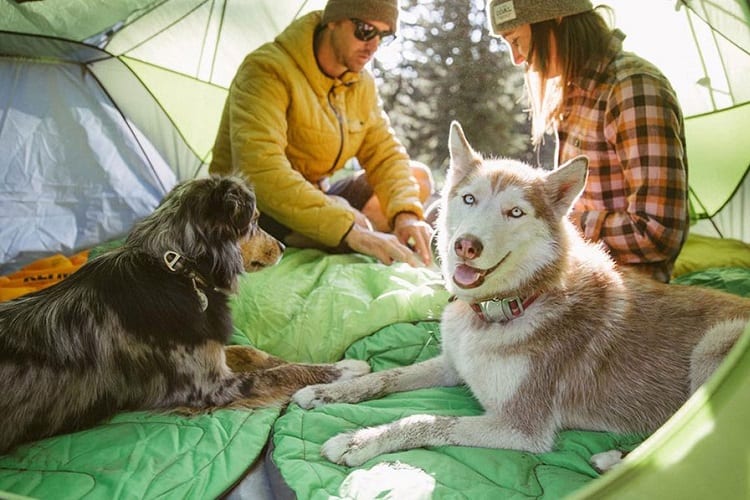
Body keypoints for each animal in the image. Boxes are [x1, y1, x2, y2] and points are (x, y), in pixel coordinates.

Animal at [0, 175, 370, 454]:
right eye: (253, 222)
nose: (281, 247)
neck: (180, 268)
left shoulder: (210, 350)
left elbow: (255, 353)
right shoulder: (209, 387)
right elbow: (284, 373)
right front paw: (346, 370)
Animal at [292, 121, 750, 468]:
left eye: (515, 212)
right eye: (469, 198)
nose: (466, 246)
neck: (507, 306)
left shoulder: (519, 428)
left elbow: (425, 419)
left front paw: (358, 440)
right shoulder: (453, 367)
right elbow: (388, 376)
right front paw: (329, 389)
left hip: (716, 345)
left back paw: (617, 458)